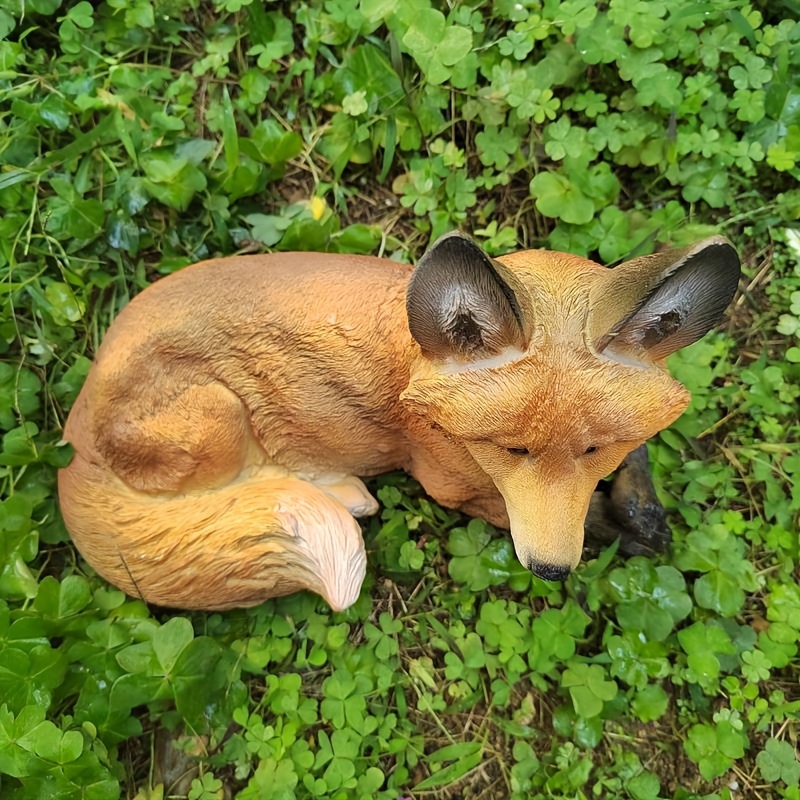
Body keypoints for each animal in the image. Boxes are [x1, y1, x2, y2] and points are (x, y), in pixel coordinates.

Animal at [58, 232, 740, 612]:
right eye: (509, 449)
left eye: (595, 448)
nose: (550, 570)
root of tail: (73, 444)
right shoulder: (450, 485)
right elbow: (580, 521)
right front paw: (624, 530)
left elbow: (634, 468)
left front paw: (643, 509)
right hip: (216, 416)